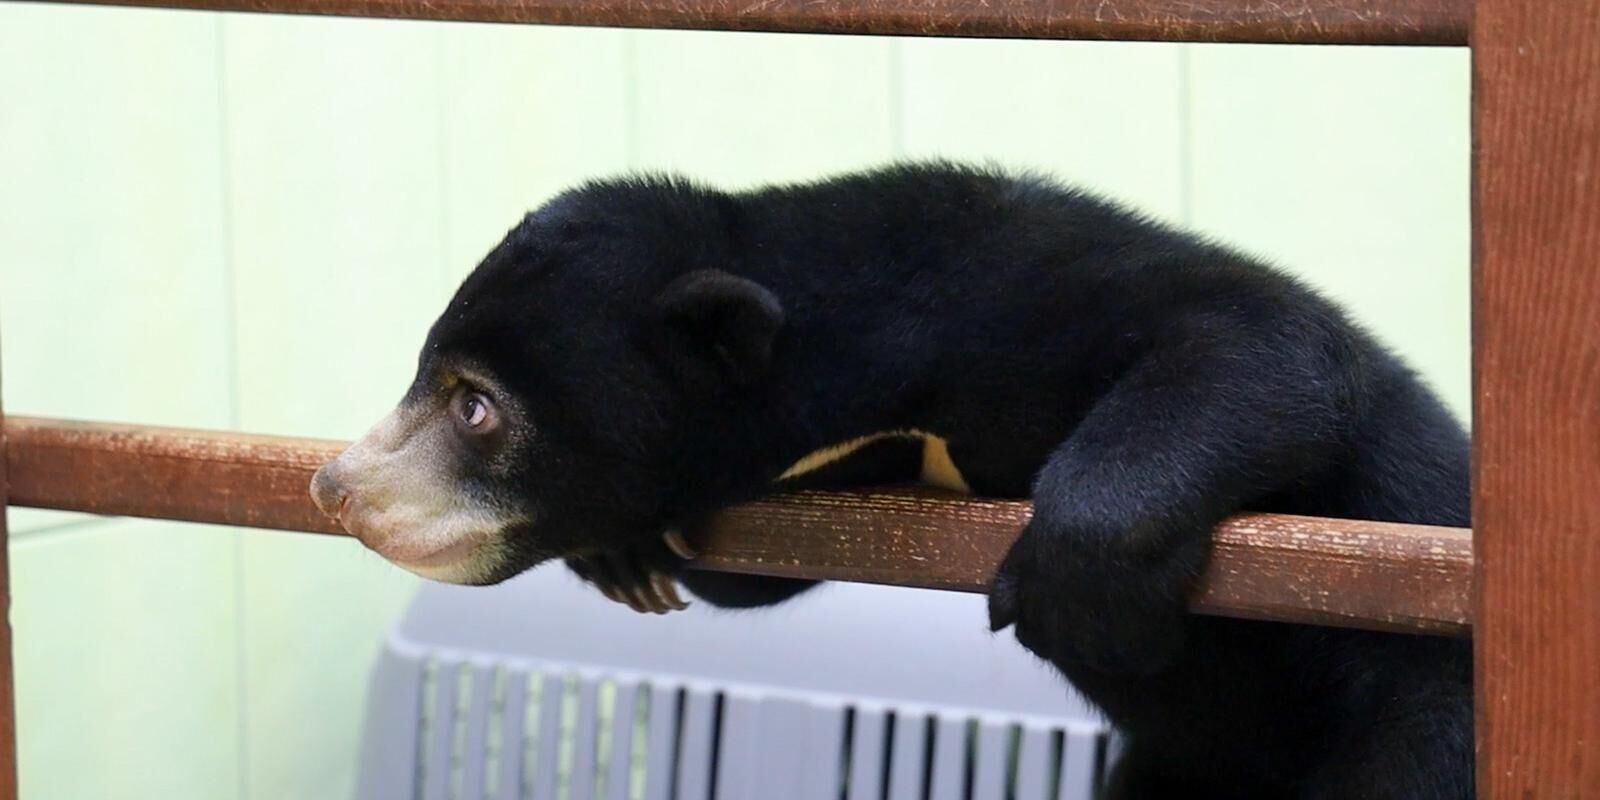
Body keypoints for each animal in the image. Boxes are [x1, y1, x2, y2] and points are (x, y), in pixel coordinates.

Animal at [305, 159, 1465, 796]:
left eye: (475, 404)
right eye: (427, 370)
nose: (337, 485)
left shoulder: (1017, 292)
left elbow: (1271, 341)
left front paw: (1076, 583)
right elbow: (748, 576)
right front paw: (629, 558)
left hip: (1414, 693)